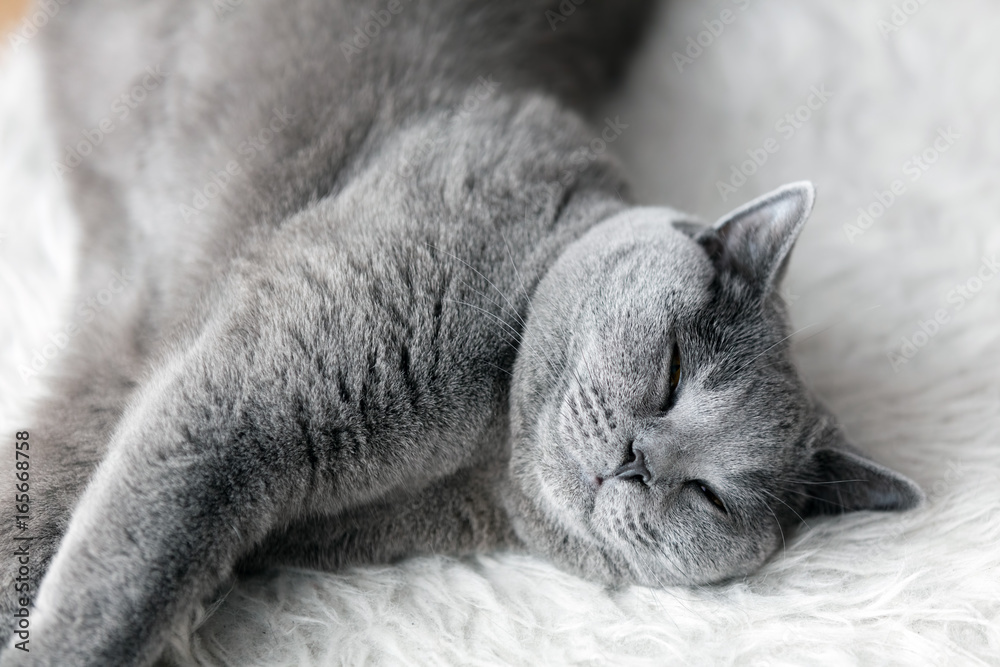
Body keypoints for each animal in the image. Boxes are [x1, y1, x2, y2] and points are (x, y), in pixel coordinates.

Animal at [0, 0, 920, 664]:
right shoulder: (242, 399)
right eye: (671, 369)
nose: (640, 459)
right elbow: (123, 580)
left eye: (710, 496)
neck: (478, 452)